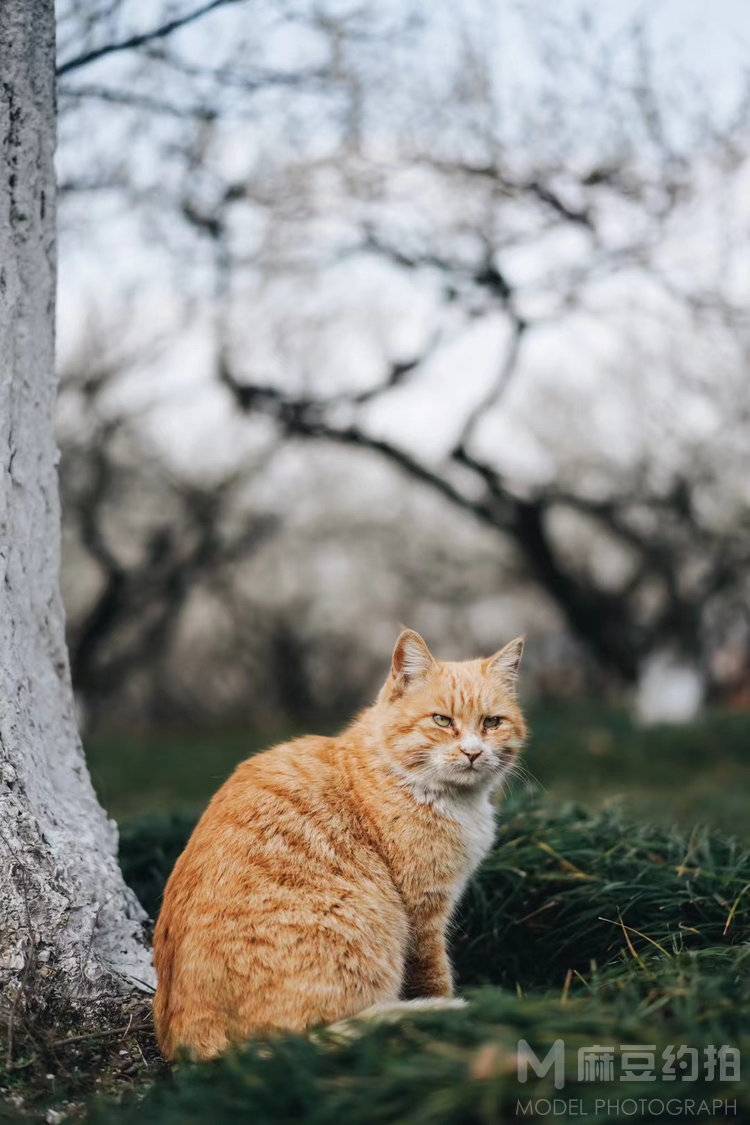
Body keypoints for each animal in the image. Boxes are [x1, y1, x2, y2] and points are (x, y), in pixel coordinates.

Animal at [152, 630, 528, 1057]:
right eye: (441, 721)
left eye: (492, 722)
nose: (472, 752)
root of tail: (194, 1051)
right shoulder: (423, 911)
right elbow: (433, 975)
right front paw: (449, 1008)